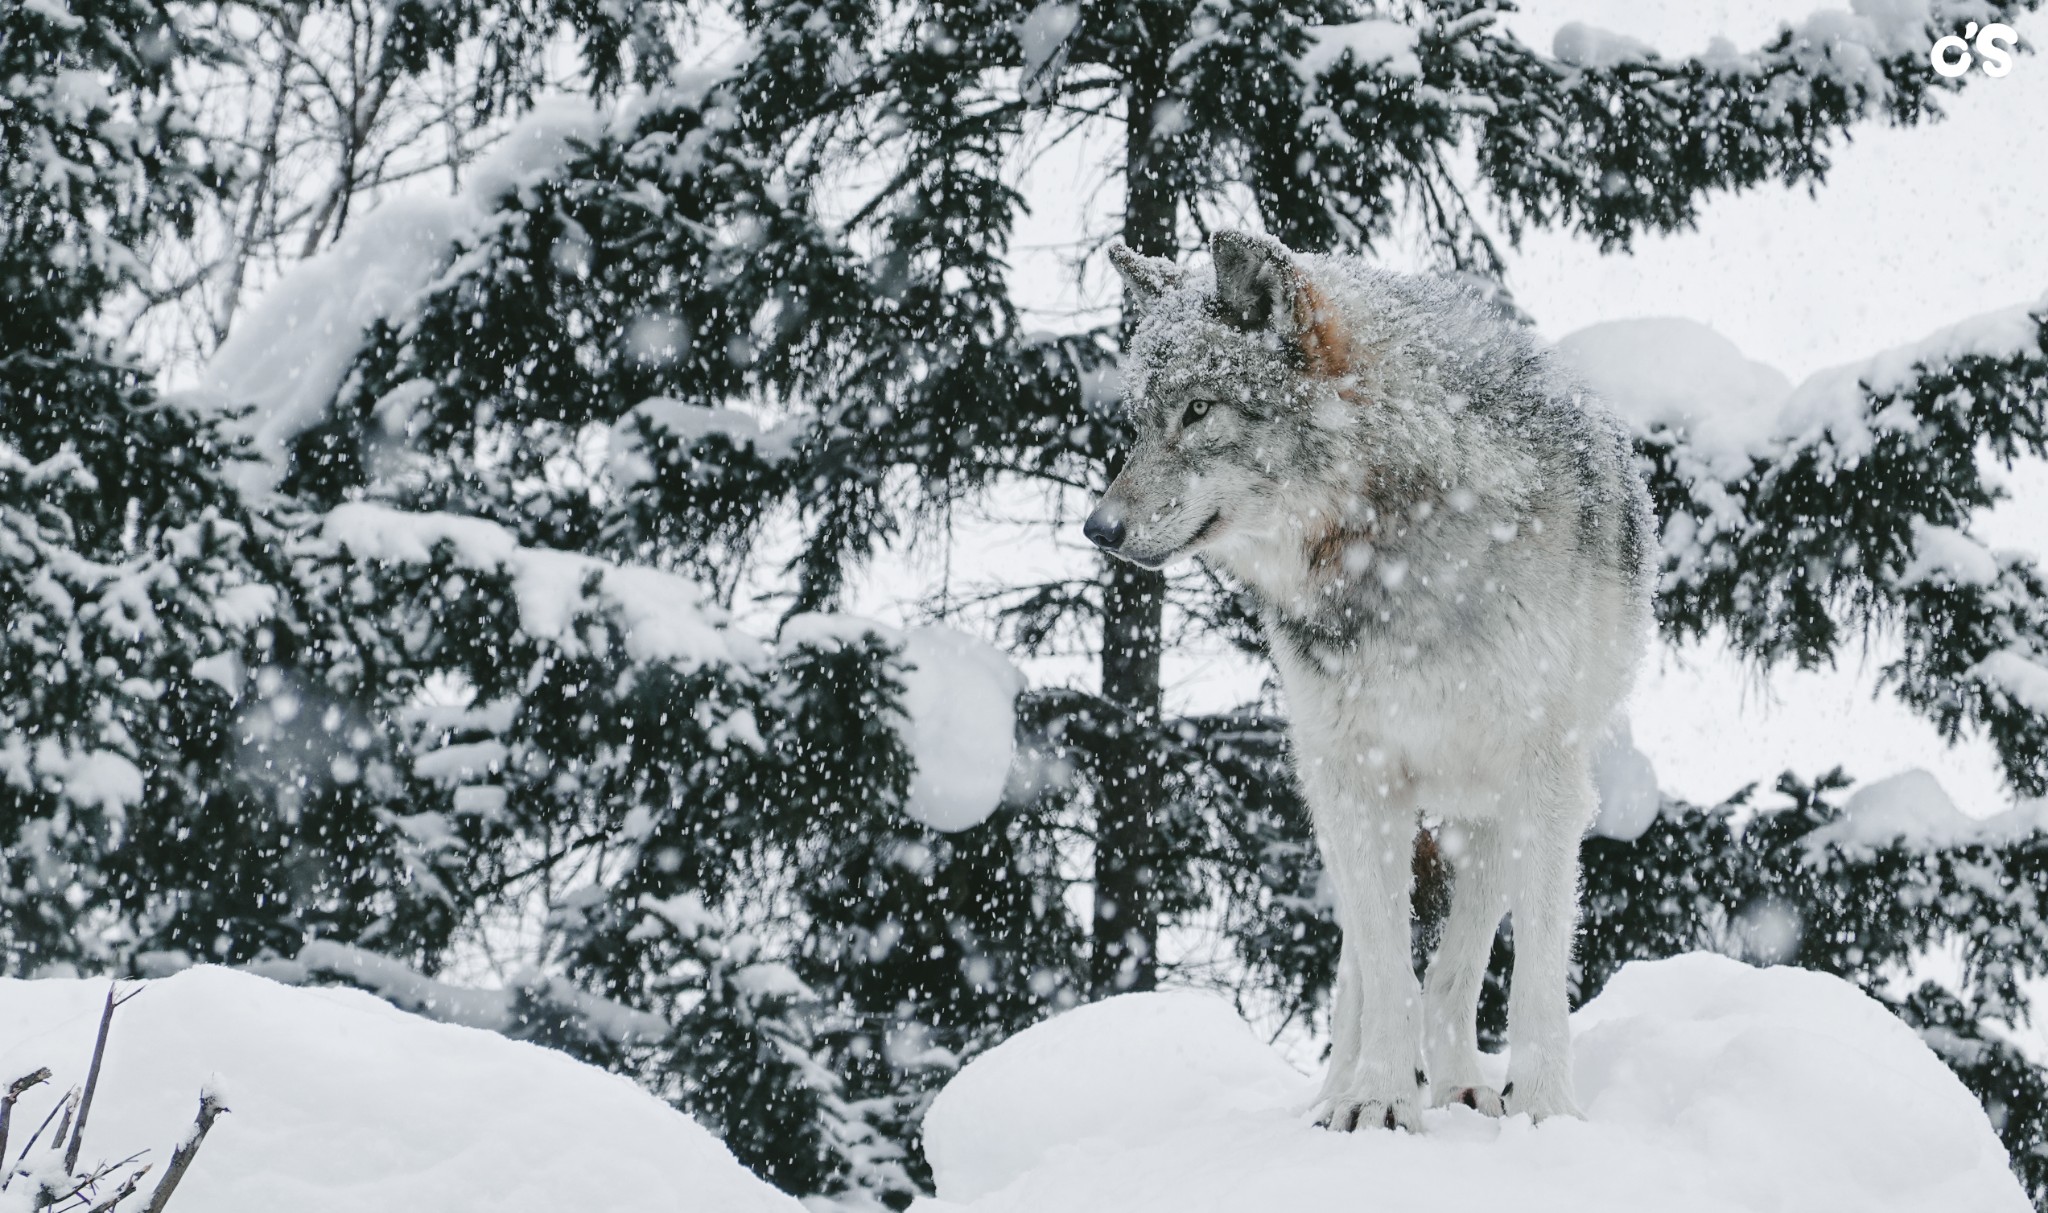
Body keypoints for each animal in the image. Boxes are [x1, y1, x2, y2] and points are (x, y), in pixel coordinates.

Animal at [1089, 234, 1646, 1131]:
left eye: (1200, 410)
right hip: (1335, 790)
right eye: (1139, 420)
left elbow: (1524, 979)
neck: (1393, 546)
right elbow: (1387, 971)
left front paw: (1546, 1113)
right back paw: (1341, 1089)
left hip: (1483, 813)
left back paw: (1464, 1087)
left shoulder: (1543, 779)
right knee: (1365, 963)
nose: (1097, 528)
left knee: (1456, 969)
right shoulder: (1358, 775)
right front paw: (1375, 1100)